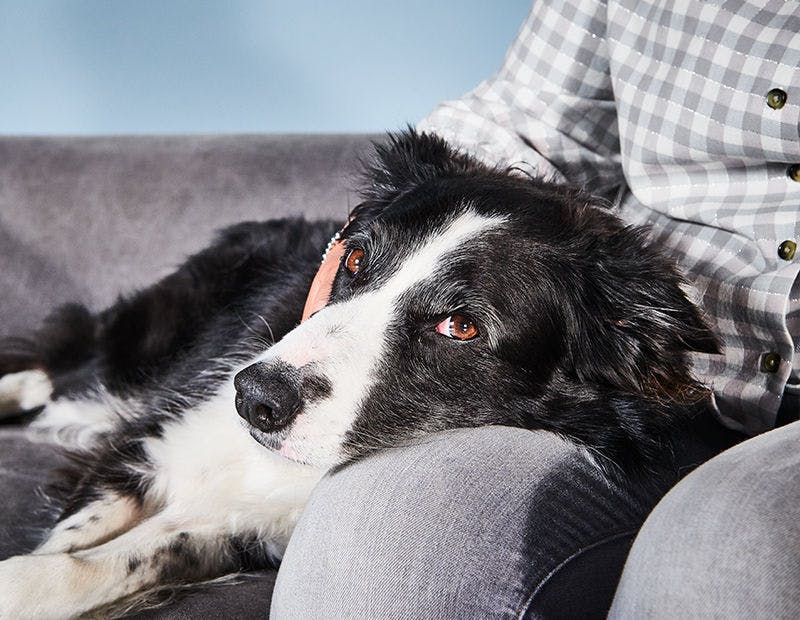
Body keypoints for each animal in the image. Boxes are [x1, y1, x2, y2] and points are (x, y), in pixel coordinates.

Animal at [0, 130, 720, 616]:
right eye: (352, 260)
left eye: (460, 327)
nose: (254, 399)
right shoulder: (157, 439)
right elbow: (74, 534)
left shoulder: (244, 529)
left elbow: (123, 557)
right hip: (135, 355)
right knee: (56, 365)